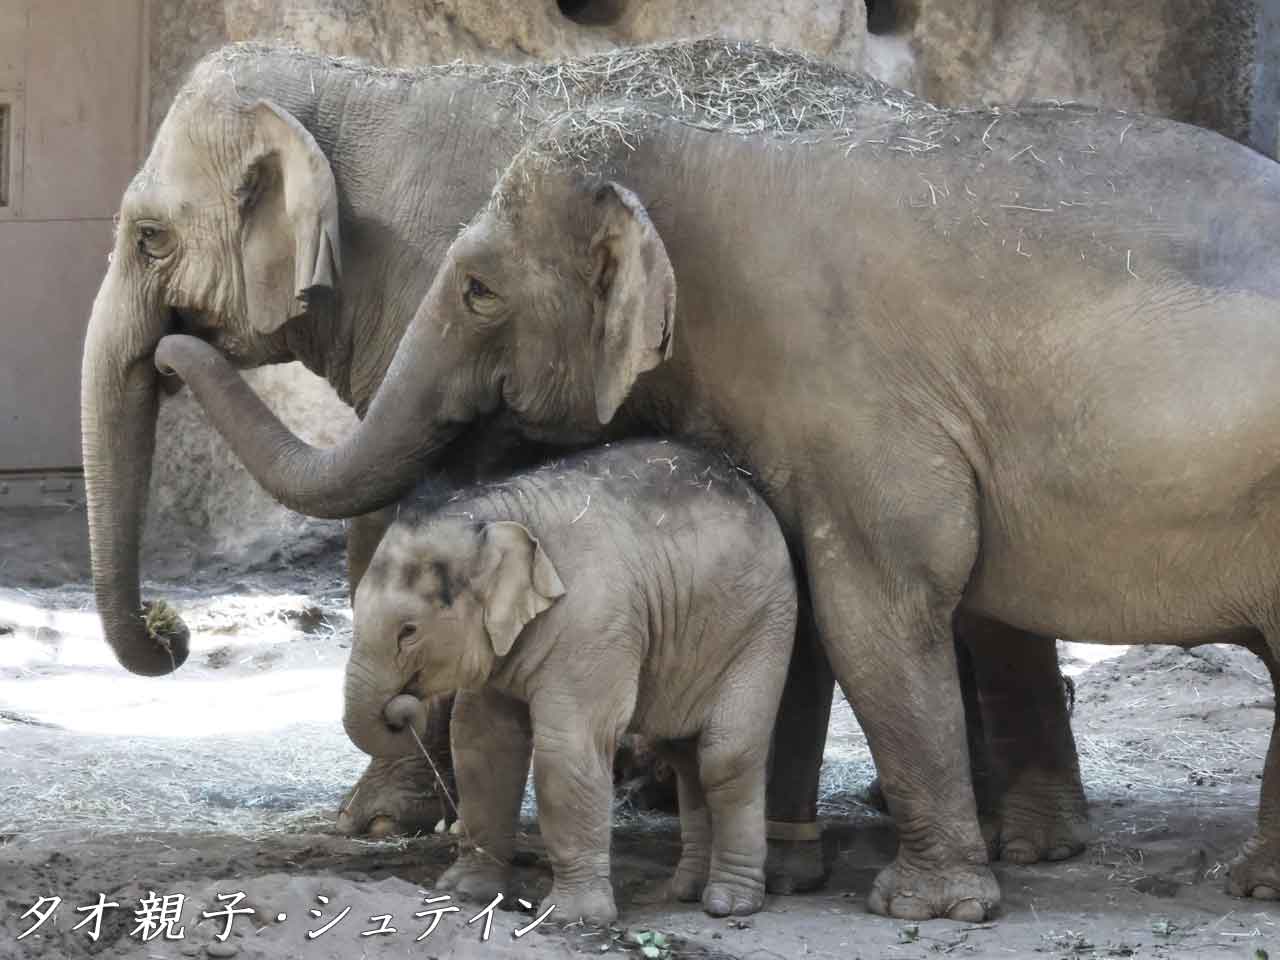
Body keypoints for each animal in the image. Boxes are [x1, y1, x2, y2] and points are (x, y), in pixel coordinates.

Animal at [345, 442, 793, 926]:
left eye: (408, 631)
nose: (401, 707)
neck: (497, 514)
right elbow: (482, 742)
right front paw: (463, 892)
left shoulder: (593, 621)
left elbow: (568, 746)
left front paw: (572, 918)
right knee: (684, 757)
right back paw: (687, 891)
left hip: (763, 628)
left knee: (725, 755)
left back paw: (729, 903)